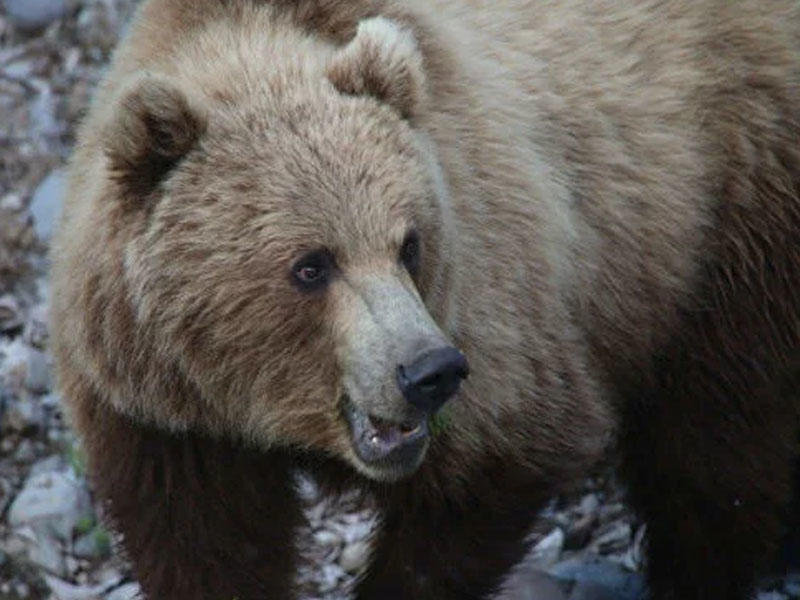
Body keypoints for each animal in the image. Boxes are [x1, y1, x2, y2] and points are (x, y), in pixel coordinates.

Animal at [50, 1, 800, 600]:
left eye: (409, 243)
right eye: (311, 265)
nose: (428, 370)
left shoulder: (495, 309)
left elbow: (496, 466)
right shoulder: (166, 421)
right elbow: (208, 543)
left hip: (731, 210)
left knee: (713, 444)